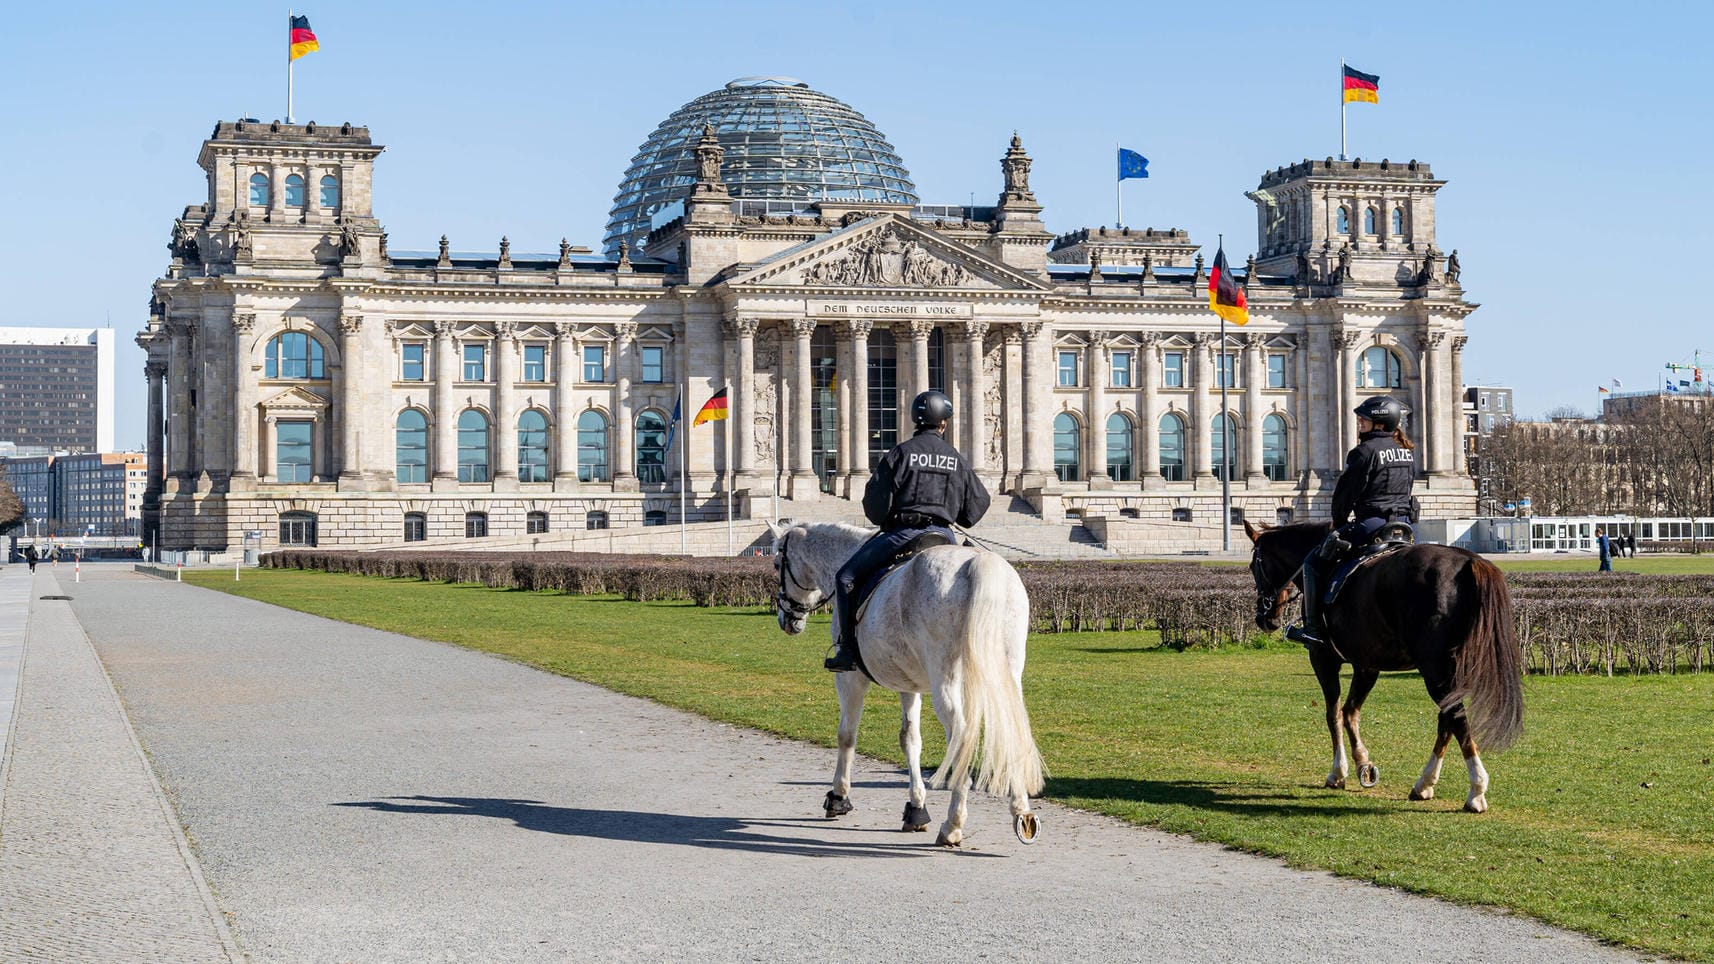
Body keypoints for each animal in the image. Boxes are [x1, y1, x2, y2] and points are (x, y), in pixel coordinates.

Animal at [767, 518, 1042, 840]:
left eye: (776, 564)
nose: (787, 620)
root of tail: (976, 561)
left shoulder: (850, 680)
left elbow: (847, 735)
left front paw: (838, 796)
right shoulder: (908, 685)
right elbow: (910, 739)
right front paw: (916, 807)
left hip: (945, 682)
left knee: (961, 737)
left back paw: (953, 824)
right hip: (1007, 675)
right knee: (1013, 727)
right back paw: (1021, 810)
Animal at [1247, 521, 1528, 806]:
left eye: (1252, 567)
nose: (1264, 618)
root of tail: (1469, 561)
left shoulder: (1323, 659)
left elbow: (1333, 714)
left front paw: (1338, 771)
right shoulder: (1367, 665)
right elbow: (1350, 713)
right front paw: (1363, 765)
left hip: (1434, 670)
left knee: (1456, 718)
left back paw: (1476, 789)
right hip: (1449, 671)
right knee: (1447, 720)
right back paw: (1425, 783)